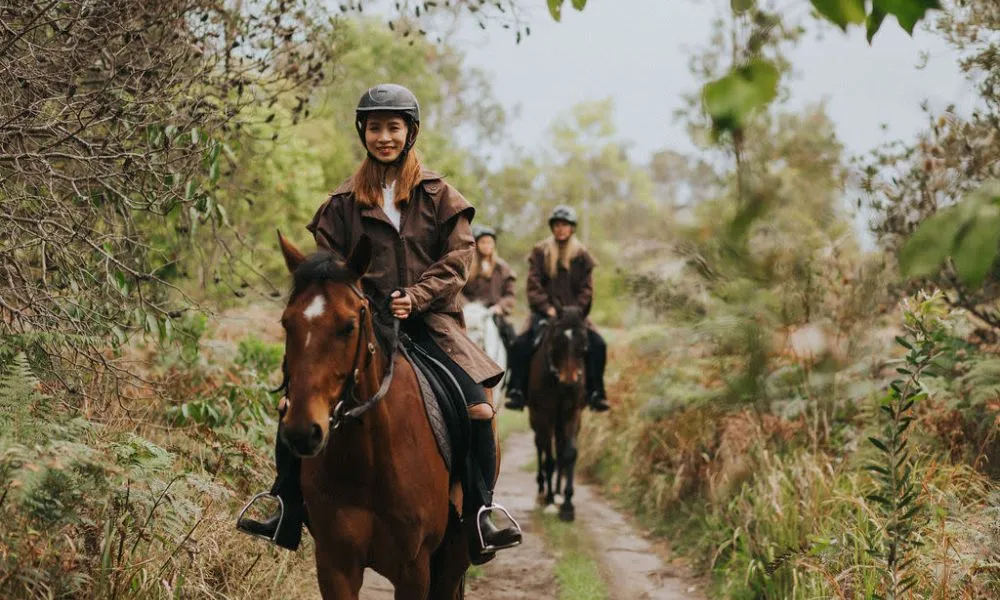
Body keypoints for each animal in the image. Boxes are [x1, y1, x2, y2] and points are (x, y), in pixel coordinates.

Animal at [275, 232, 469, 599]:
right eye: (286, 323)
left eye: (348, 326)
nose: (303, 432)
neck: (368, 460)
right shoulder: (335, 563)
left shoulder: (414, 568)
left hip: (452, 559)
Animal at [526, 306, 589, 522]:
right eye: (557, 343)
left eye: (583, 344)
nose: (569, 384)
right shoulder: (545, 414)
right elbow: (549, 458)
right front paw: (550, 501)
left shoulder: (572, 413)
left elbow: (568, 453)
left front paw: (567, 505)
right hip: (537, 418)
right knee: (540, 446)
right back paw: (542, 492)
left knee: (560, 450)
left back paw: (559, 493)